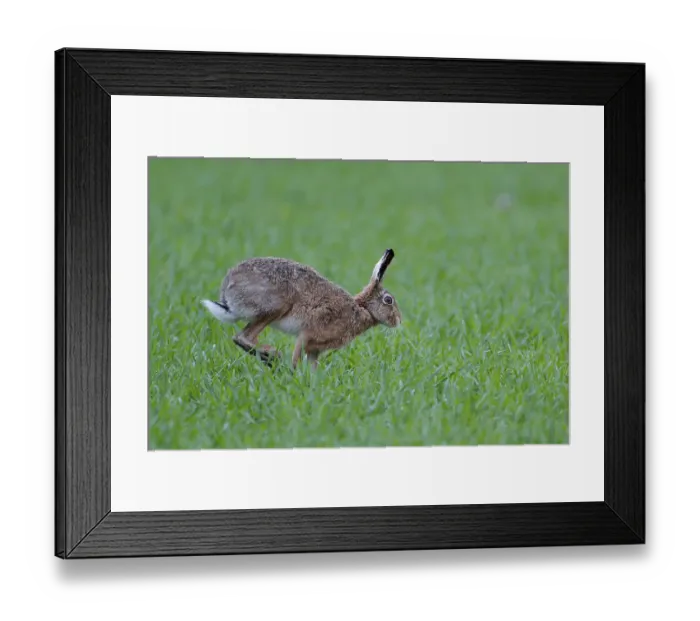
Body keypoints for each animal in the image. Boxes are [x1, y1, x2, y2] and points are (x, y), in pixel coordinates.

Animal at [201, 249, 401, 370]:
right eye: (388, 300)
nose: (398, 321)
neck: (361, 308)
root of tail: (227, 290)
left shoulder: (314, 349)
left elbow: (313, 366)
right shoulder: (306, 334)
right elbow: (297, 356)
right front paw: (293, 375)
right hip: (275, 307)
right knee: (243, 336)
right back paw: (273, 355)